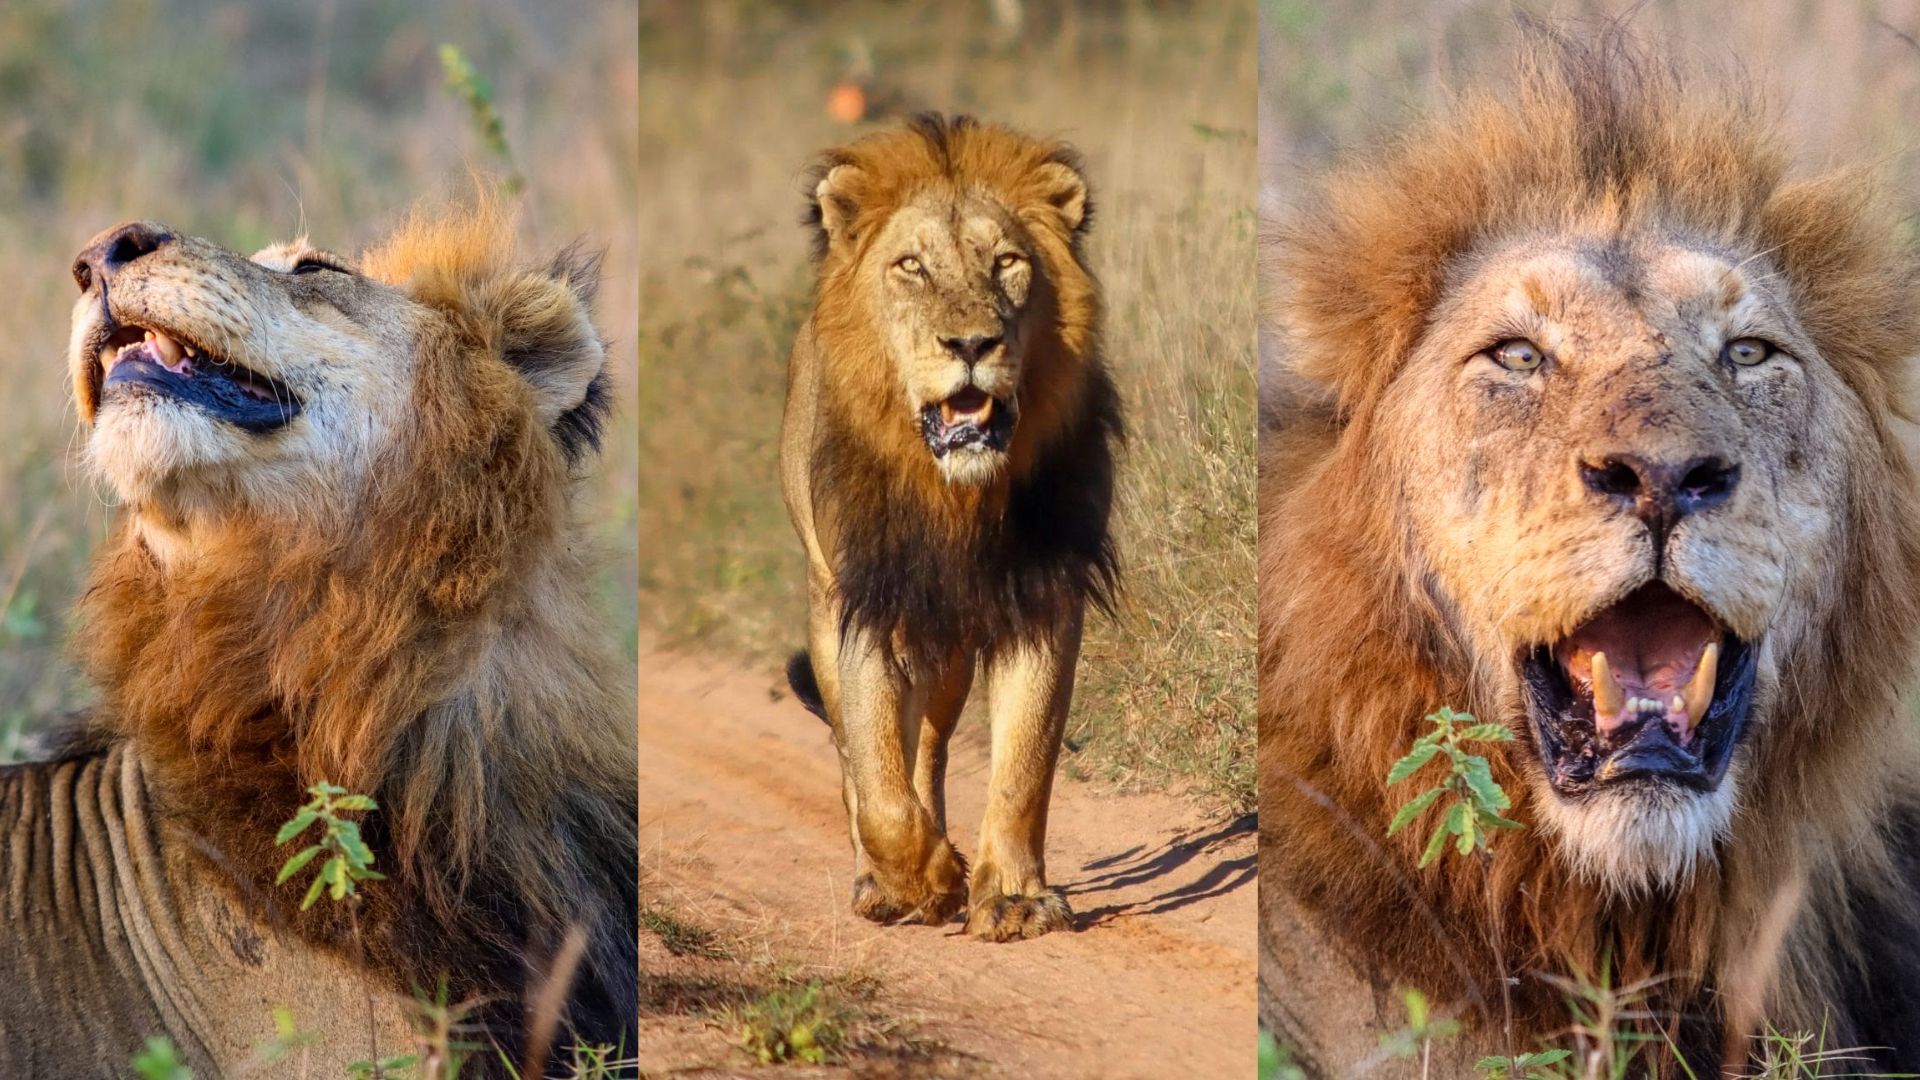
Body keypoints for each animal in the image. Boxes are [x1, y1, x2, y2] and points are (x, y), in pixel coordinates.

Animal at [779, 114, 1121, 941]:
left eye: (1008, 263)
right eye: (912, 267)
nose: (970, 346)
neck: (956, 496)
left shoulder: (1042, 596)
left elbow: (1025, 762)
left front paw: (1014, 897)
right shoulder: (865, 598)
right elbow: (875, 772)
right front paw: (919, 879)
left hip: (951, 644)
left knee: (929, 749)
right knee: (855, 751)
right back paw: (882, 879)